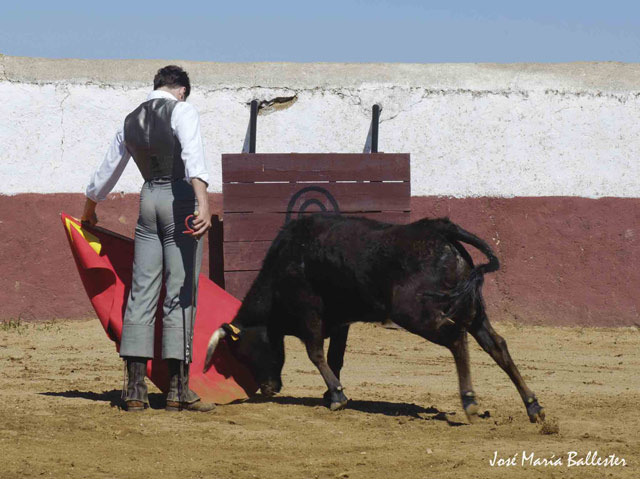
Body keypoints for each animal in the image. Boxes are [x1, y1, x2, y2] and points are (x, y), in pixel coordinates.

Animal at [205, 217, 544, 424]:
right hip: (472, 311)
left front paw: (337, 397)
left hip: (415, 313)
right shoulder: (340, 322)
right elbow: (335, 357)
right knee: (497, 345)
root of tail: (440, 229)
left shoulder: (310, 314)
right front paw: (331, 392)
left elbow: (315, 354)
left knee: (456, 339)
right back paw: (533, 406)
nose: (267, 389)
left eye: (247, 352)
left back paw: (470, 401)